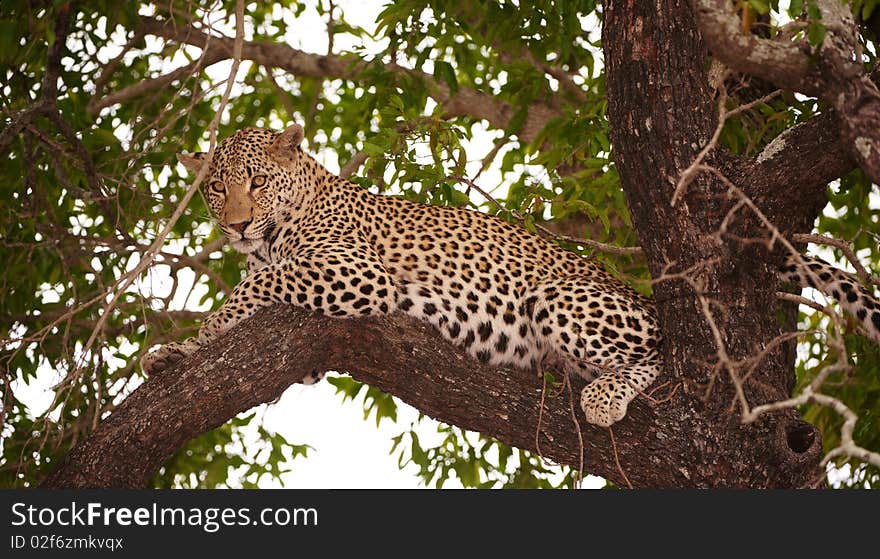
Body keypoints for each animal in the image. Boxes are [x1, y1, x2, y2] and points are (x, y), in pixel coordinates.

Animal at [143, 123, 880, 428]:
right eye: (216, 189)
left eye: (256, 182)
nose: (237, 225)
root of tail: (637, 289)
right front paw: (175, 351)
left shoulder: (358, 273)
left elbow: (255, 286)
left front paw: (199, 331)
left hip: (562, 299)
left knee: (660, 352)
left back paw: (605, 396)